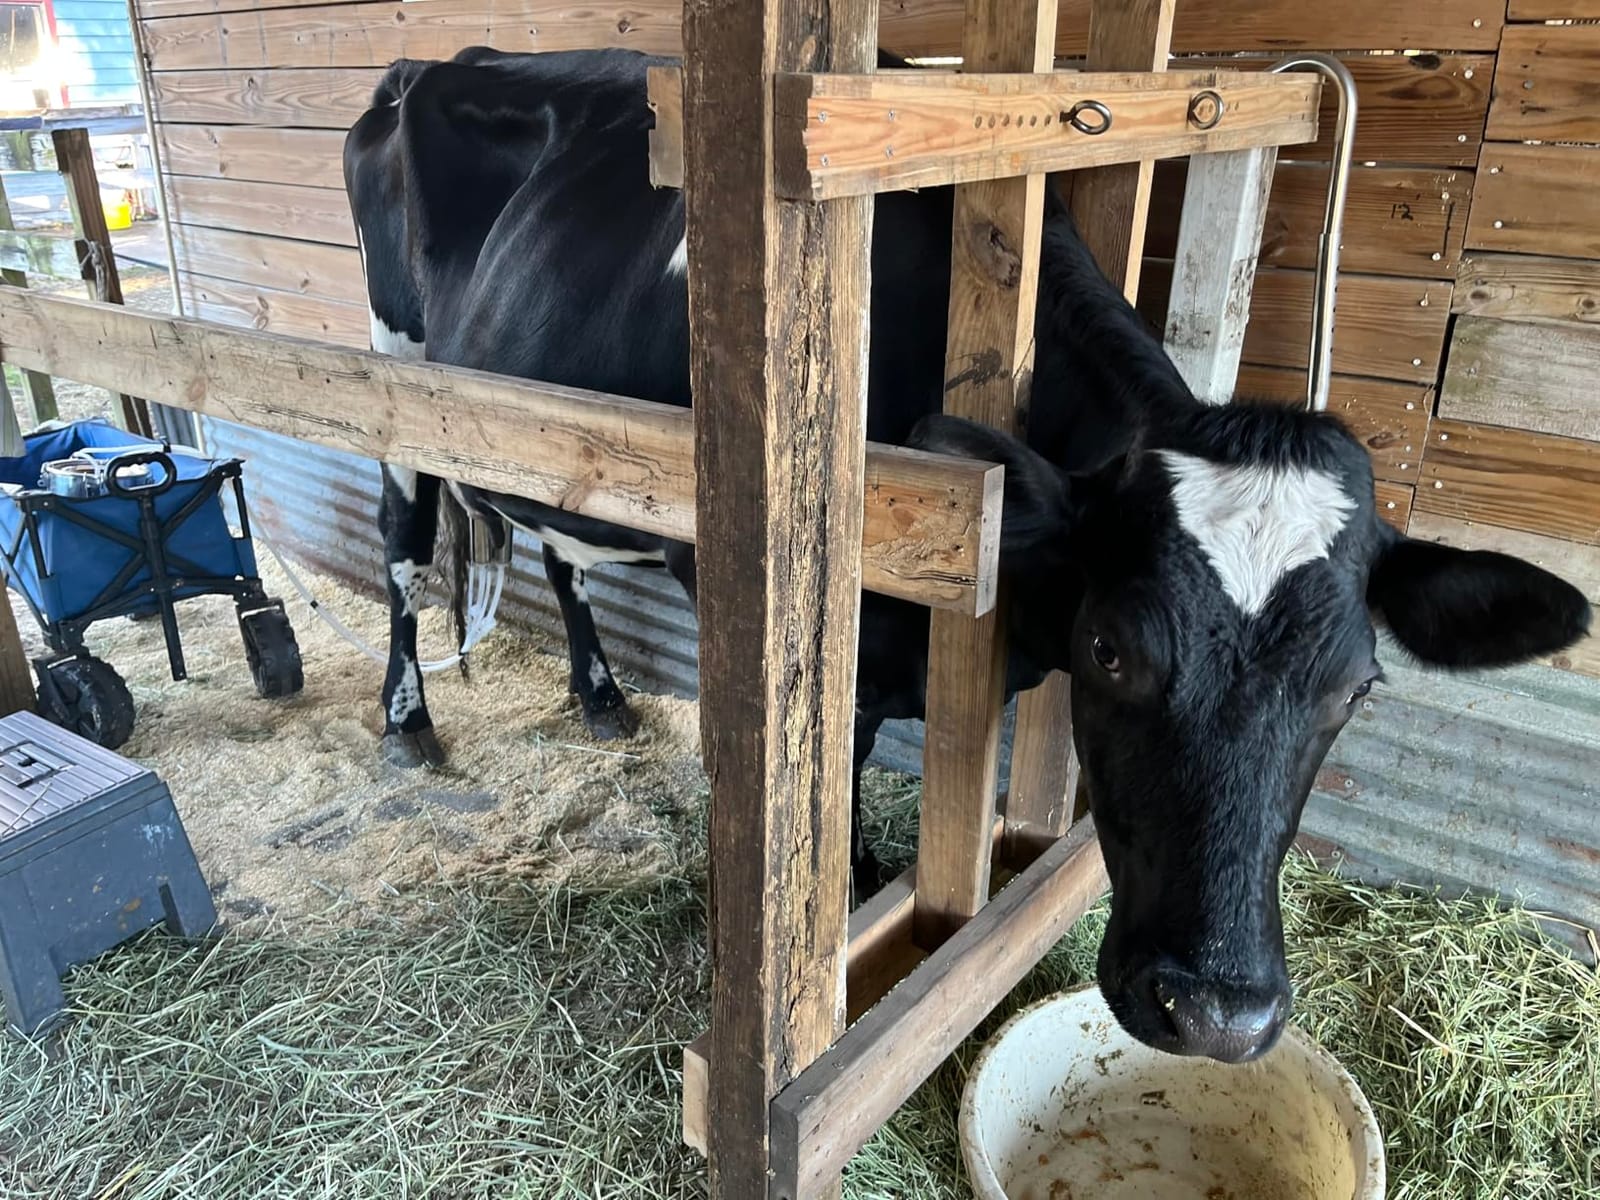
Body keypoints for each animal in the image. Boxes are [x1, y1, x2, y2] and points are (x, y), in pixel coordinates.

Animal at [344, 46, 1591, 1064]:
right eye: (1113, 650)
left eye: (1357, 688)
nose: (1218, 1015)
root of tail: (434, 61)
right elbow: (833, 854)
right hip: (396, 377)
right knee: (403, 545)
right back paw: (409, 723)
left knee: (555, 544)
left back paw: (601, 697)